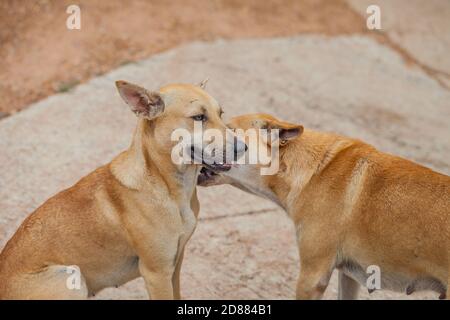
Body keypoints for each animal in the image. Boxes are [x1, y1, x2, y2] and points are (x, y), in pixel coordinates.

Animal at [0, 80, 244, 300]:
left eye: (220, 113)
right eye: (198, 117)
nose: (243, 147)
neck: (166, 185)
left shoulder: (175, 264)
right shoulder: (157, 274)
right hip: (69, 276)